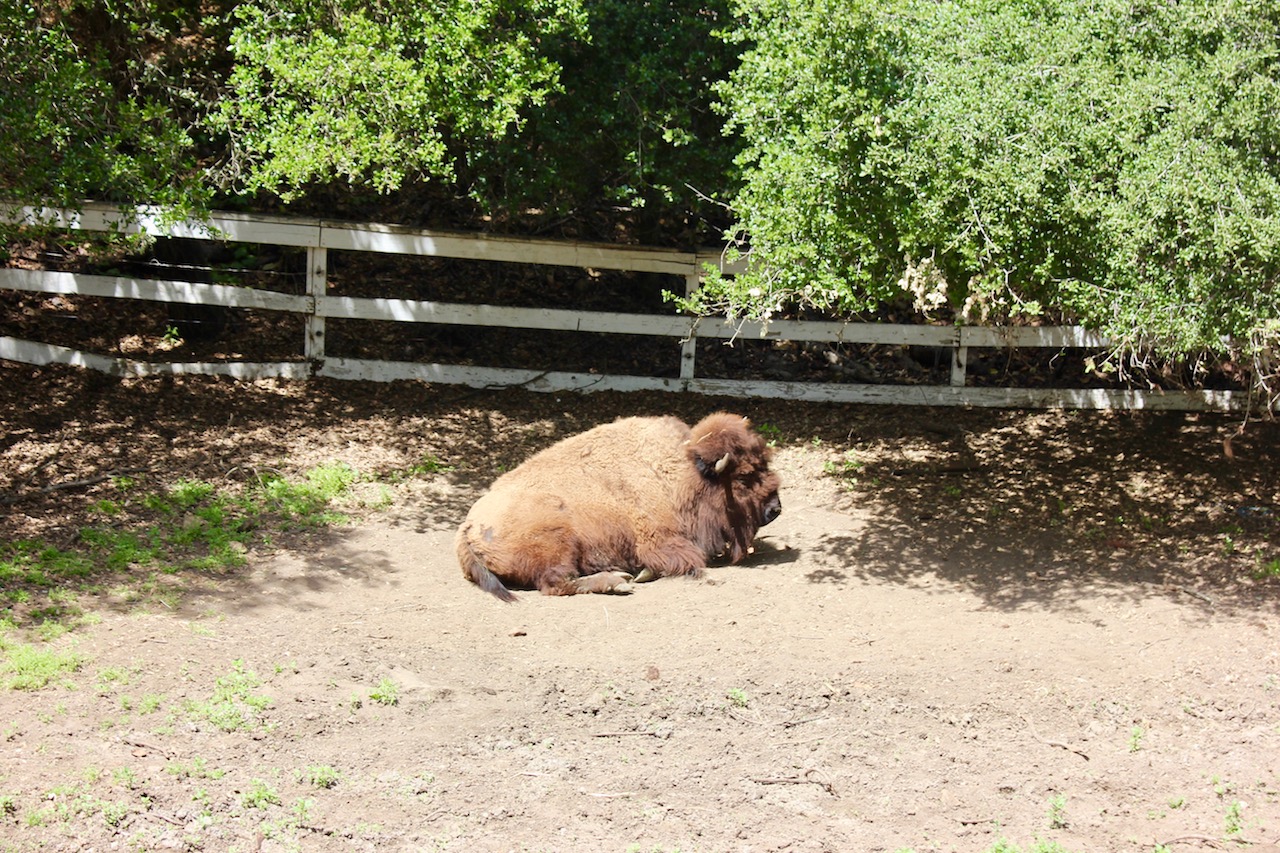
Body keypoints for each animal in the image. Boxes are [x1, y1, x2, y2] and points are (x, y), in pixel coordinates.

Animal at [456, 412, 782, 601]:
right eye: (744, 476)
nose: (775, 509)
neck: (680, 471)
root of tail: (467, 529)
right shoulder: (658, 540)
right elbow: (689, 558)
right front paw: (644, 572)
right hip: (559, 543)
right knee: (556, 583)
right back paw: (618, 582)